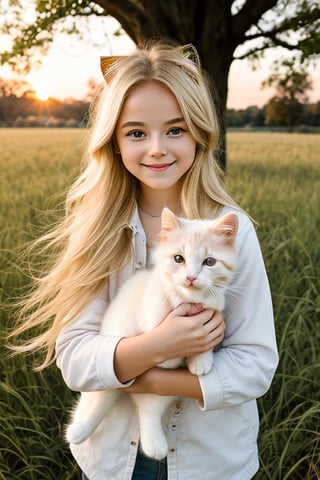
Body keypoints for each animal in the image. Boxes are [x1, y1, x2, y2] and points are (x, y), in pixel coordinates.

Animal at [67, 208, 238, 460]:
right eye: (178, 259)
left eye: (209, 262)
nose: (191, 277)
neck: (190, 300)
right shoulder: (154, 312)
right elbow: (162, 340)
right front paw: (176, 356)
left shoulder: (214, 308)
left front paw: (201, 361)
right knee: (108, 396)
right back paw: (81, 429)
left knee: (147, 408)